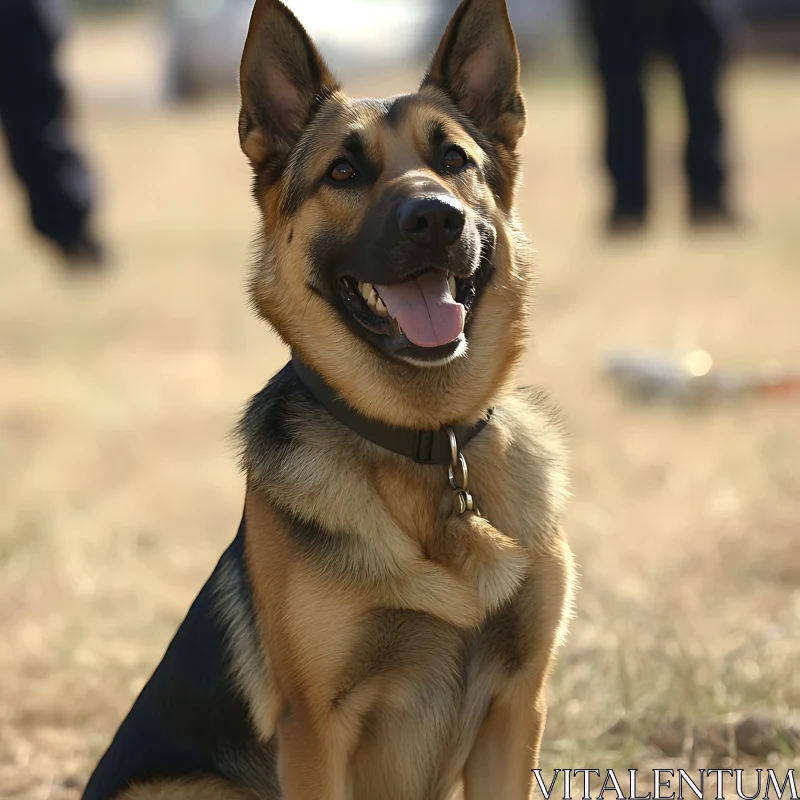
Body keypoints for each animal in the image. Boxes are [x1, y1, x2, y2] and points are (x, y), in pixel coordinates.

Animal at [83, 1, 576, 800]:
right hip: (193, 786)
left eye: (455, 161)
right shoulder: (316, 731)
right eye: (343, 172)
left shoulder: (516, 708)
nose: (434, 218)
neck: (426, 443)